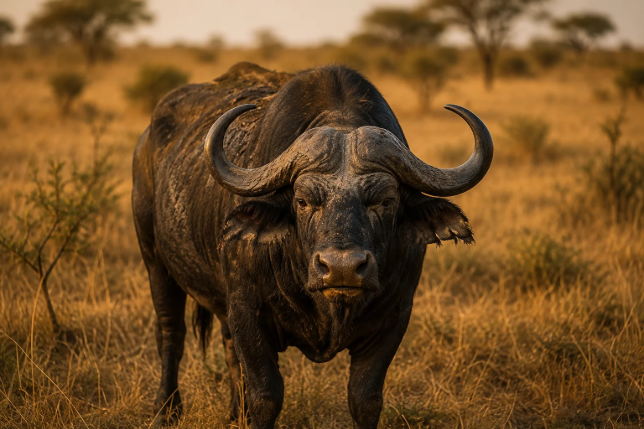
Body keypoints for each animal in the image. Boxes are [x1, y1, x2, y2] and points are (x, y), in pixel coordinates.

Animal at [132, 62, 493, 428]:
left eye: (386, 200)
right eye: (303, 201)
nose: (342, 268)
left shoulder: (394, 317)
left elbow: (365, 399)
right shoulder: (247, 311)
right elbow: (265, 397)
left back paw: (235, 413)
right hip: (154, 261)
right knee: (171, 334)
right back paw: (166, 409)